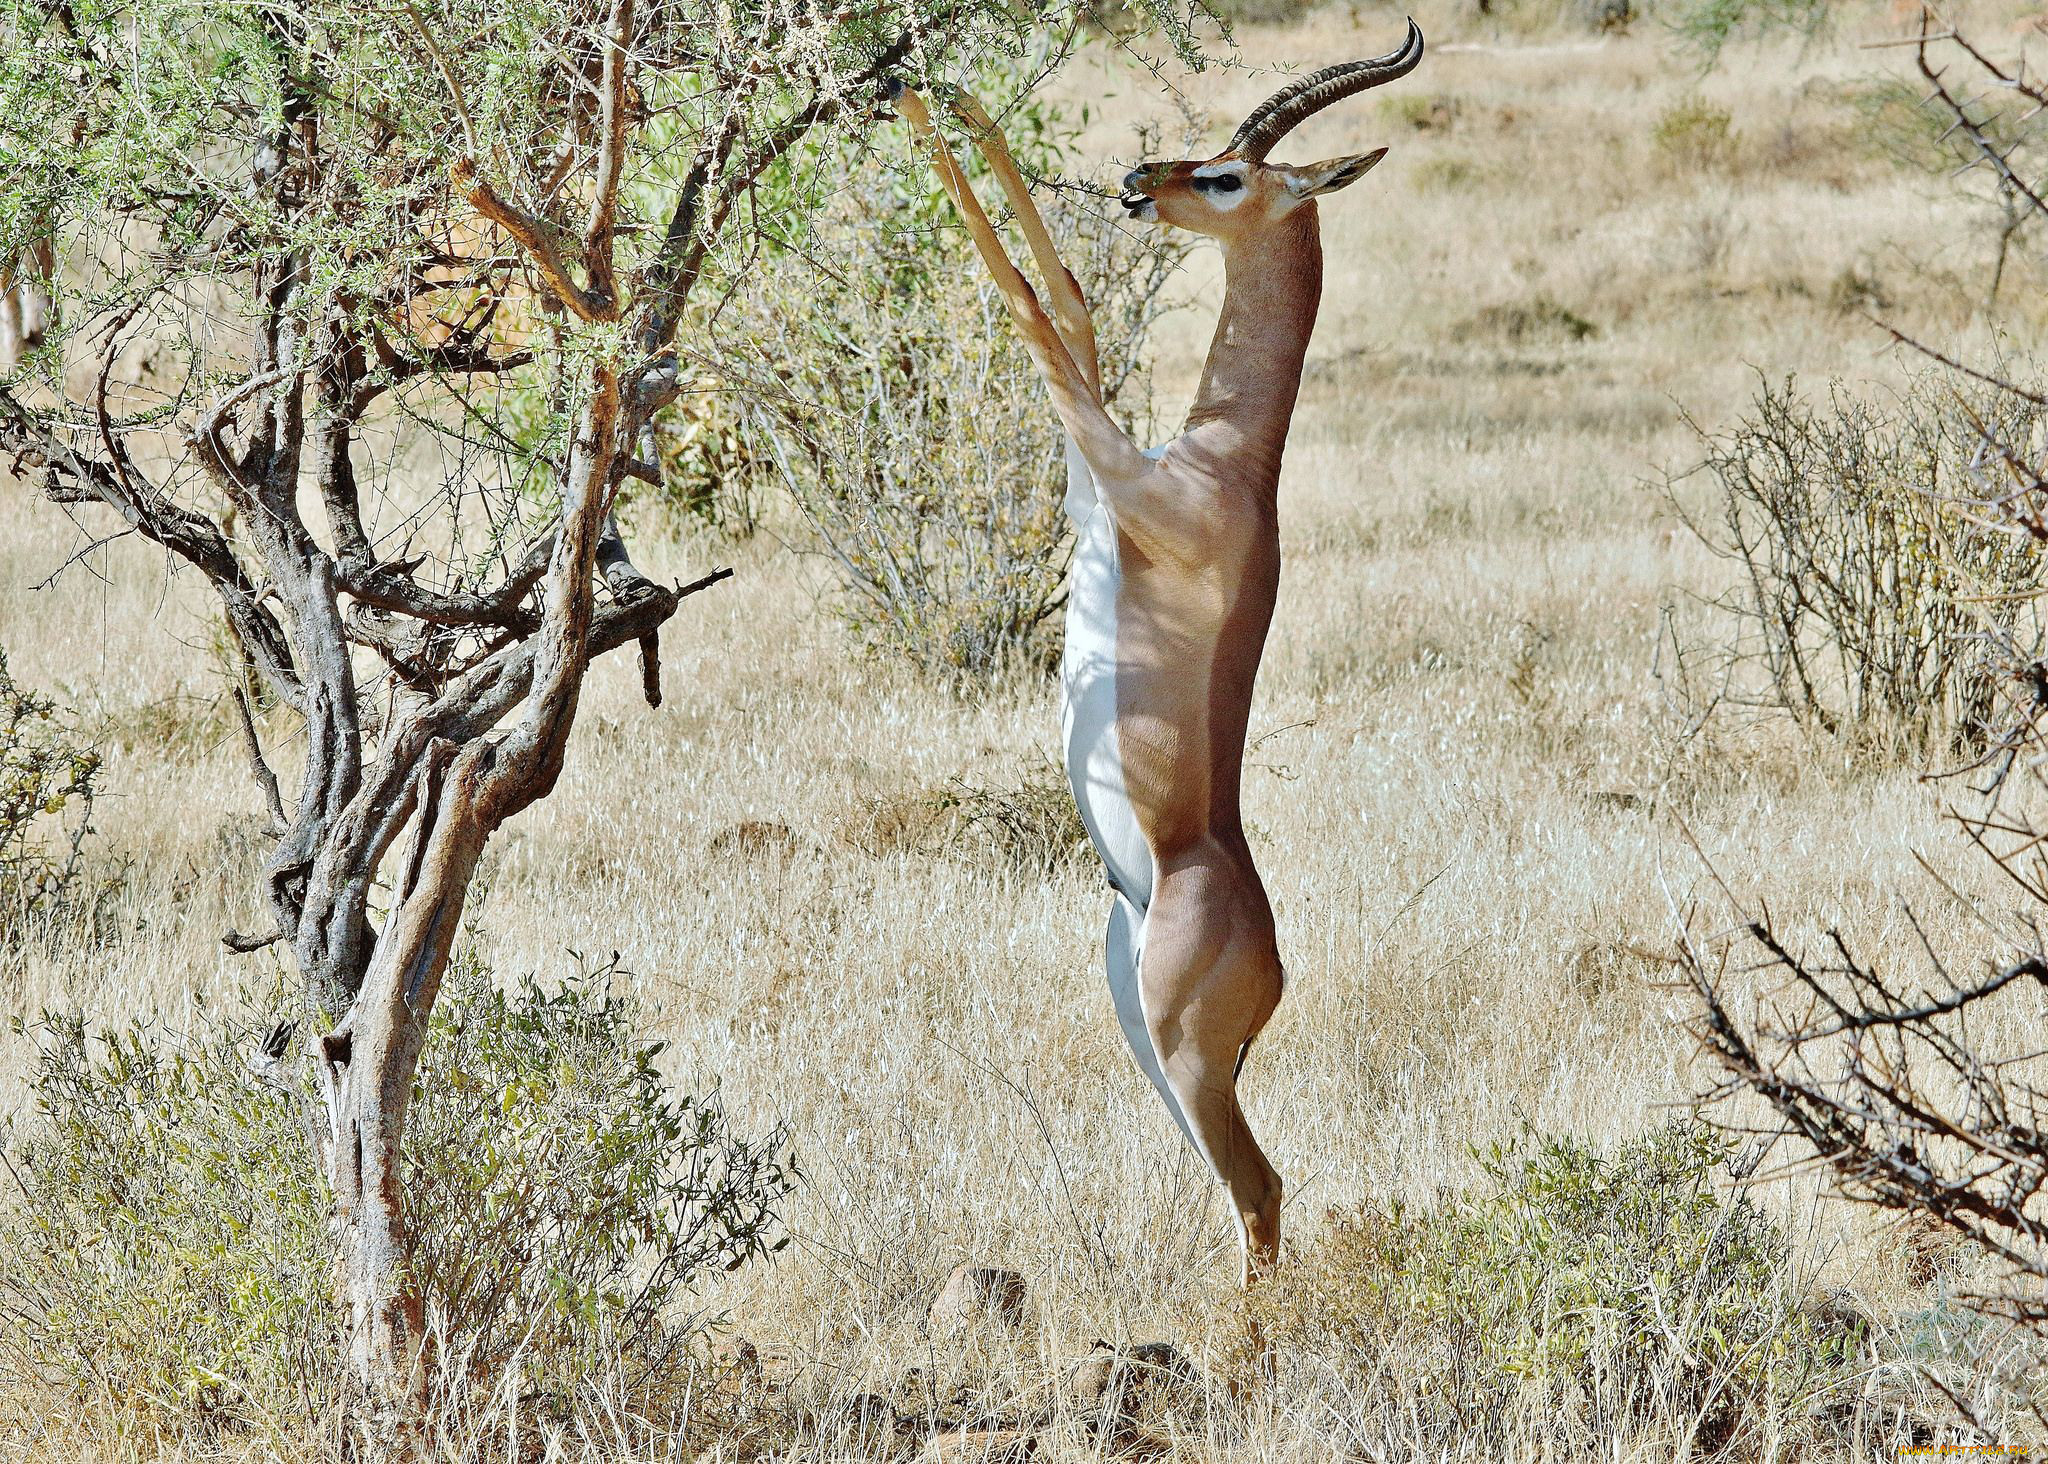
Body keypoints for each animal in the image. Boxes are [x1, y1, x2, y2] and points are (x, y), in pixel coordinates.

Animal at [897, 20, 1425, 1285]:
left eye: (1228, 177)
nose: (1141, 180)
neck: (1223, 465)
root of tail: (1275, 965)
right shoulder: (1099, 459)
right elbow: (1074, 301)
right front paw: (958, 97)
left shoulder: (1109, 463)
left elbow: (1033, 308)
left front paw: (918, 105)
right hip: (1141, 1030)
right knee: (1245, 1194)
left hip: (1183, 1050)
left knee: (1263, 1189)